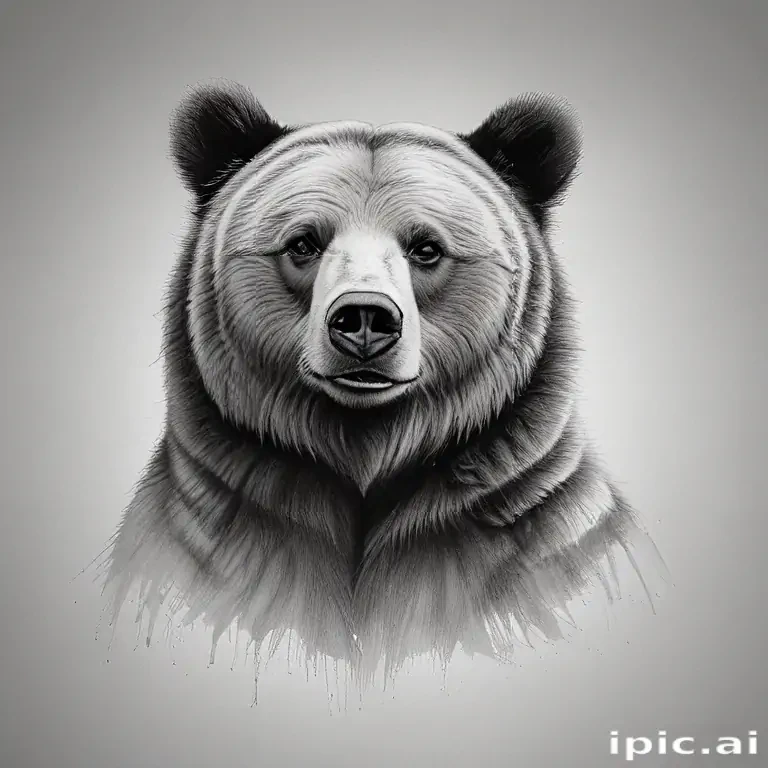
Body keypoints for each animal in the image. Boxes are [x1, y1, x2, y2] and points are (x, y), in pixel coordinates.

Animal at [102, 80, 659, 687]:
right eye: (303, 243)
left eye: (426, 247)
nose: (365, 317)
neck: (366, 450)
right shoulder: (216, 535)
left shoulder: (526, 535)